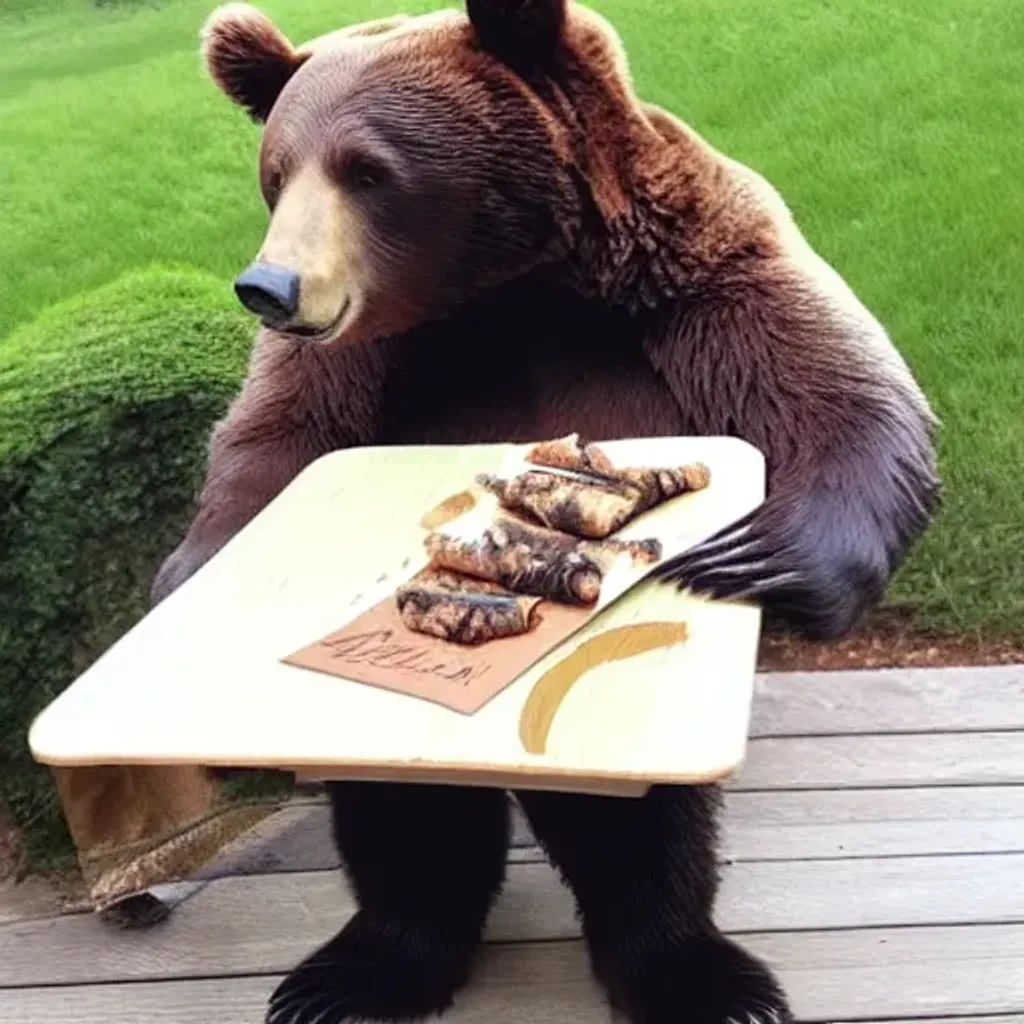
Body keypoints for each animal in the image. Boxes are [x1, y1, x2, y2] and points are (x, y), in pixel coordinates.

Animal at [148, 2, 937, 1024]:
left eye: (368, 169)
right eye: (275, 175)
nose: (269, 287)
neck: (506, 292)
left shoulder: (693, 270)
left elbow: (840, 391)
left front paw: (754, 557)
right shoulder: (367, 358)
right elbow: (271, 439)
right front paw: (190, 575)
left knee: (634, 815)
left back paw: (700, 976)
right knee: (401, 809)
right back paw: (362, 971)